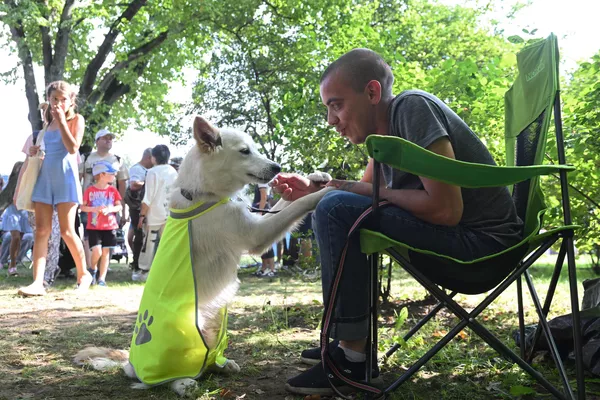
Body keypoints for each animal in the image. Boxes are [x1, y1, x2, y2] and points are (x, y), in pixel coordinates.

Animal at [74, 115, 332, 396]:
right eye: (245, 151)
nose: (277, 167)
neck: (203, 194)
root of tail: (130, 364)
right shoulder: (256, 235)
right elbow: (295, 207)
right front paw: (325, 193)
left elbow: (285, 204)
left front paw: (314, 178)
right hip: (185, 329)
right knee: (162, 379)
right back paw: (183, 383)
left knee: (203, 362)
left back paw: (222, 364)